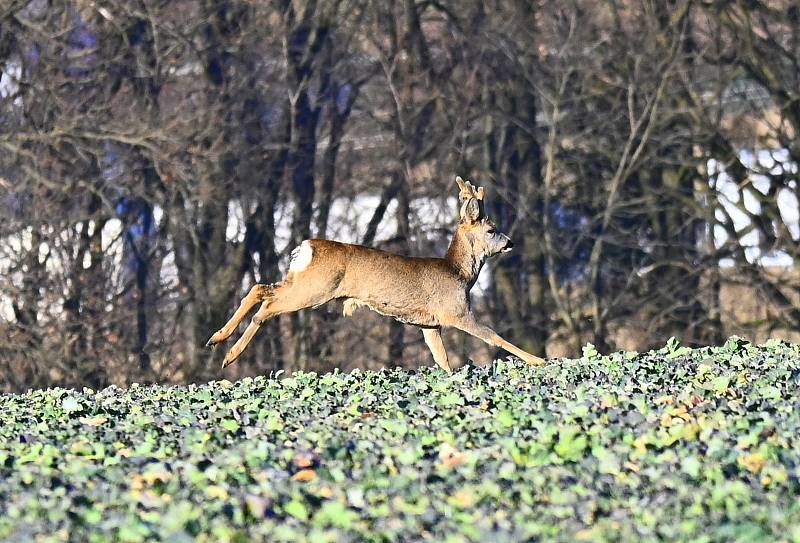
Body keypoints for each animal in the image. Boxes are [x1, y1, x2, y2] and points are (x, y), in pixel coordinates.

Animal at [206, 176, 548, 372]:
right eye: (492, 229)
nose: (511, 242)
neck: (460, 274)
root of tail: (306, 247)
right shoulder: (456, 311)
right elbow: (494, 336)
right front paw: (538, 361)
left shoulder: (428, 324)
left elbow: (443, 361)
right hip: (315, 289)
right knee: (268, 305)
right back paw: (229, 353)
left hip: (299, 280)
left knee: (259, 289)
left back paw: (218, 342)